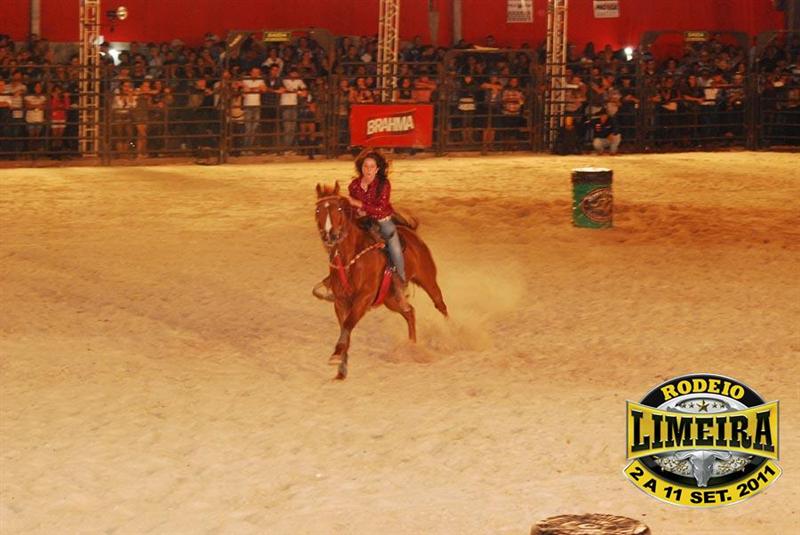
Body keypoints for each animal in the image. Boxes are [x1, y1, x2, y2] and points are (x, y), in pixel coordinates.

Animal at [314, 182, 448, 379]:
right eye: (317, 210)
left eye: (339, 209)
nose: (329, 236)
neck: (351, 257)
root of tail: (412, 233)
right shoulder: (340, 301)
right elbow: (344, 327)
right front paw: (341, 365)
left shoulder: (363, 298)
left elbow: (348, 324)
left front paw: (336, 356)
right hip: (391, 299)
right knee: (410, 312)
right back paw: (412, 345)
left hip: (428, 279)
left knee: (440, 305)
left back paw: (450, 332)